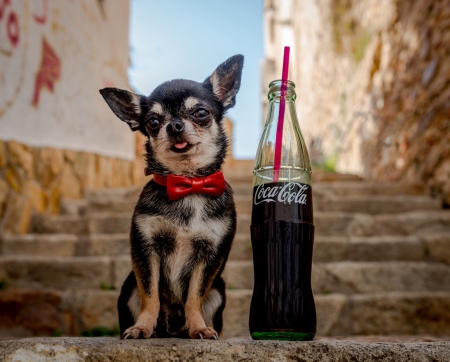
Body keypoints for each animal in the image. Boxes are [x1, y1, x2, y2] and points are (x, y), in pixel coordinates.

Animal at [100, 53, 244, 340]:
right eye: (153, 122)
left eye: (201, 113)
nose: (174, 126)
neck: (187, 183)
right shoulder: (146, 249)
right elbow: (151, 294)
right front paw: (142, 327)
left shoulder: (210, 255)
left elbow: (194, 296)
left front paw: (198, 328)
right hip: (128, 285)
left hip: (219, 290)